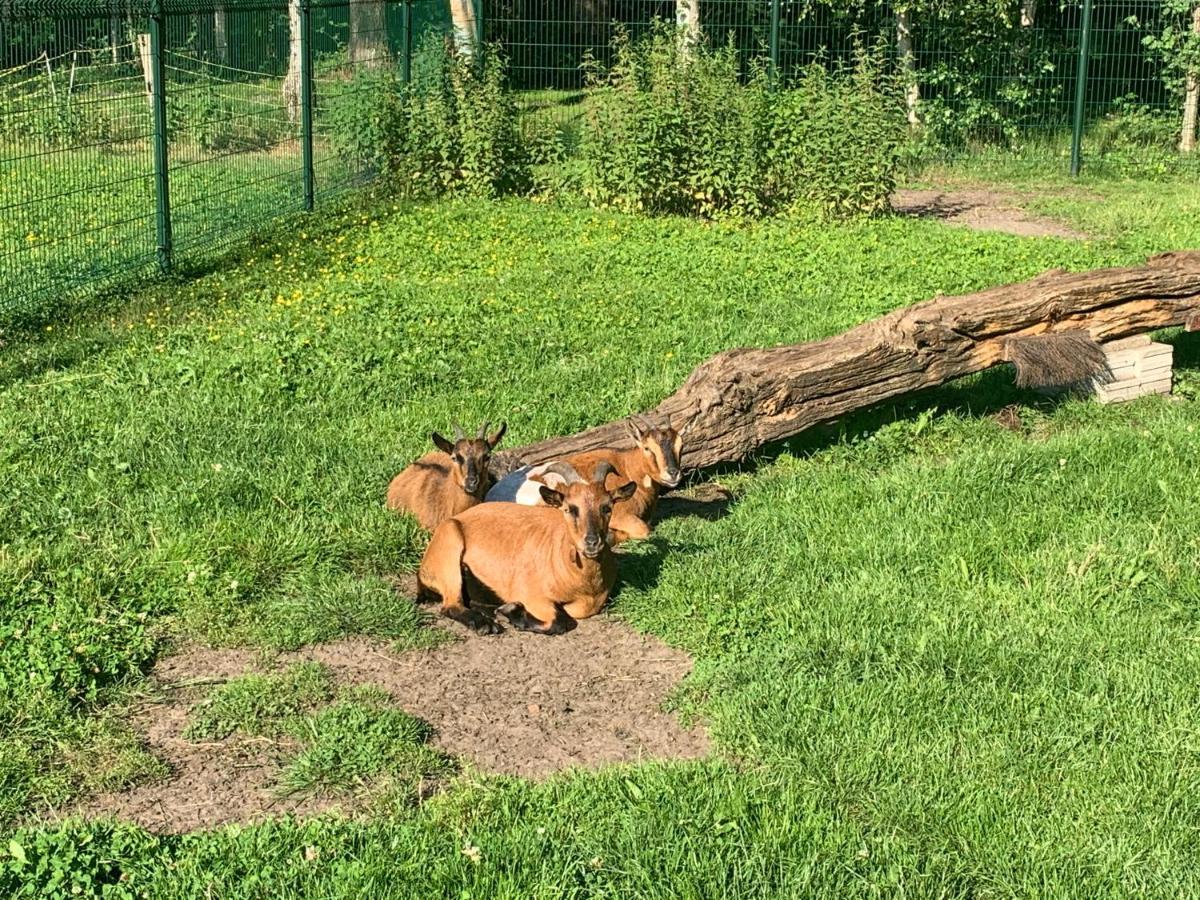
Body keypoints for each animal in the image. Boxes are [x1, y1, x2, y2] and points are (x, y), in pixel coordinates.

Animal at [415, 465, 633, 633]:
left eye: (607, 507)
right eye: (569, 508)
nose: (592, 542)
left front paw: (509, 611)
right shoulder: (532, 595)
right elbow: (562, 622)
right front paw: (512, 613)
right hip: (450, 545)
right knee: (450, 605)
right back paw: (486, 625)